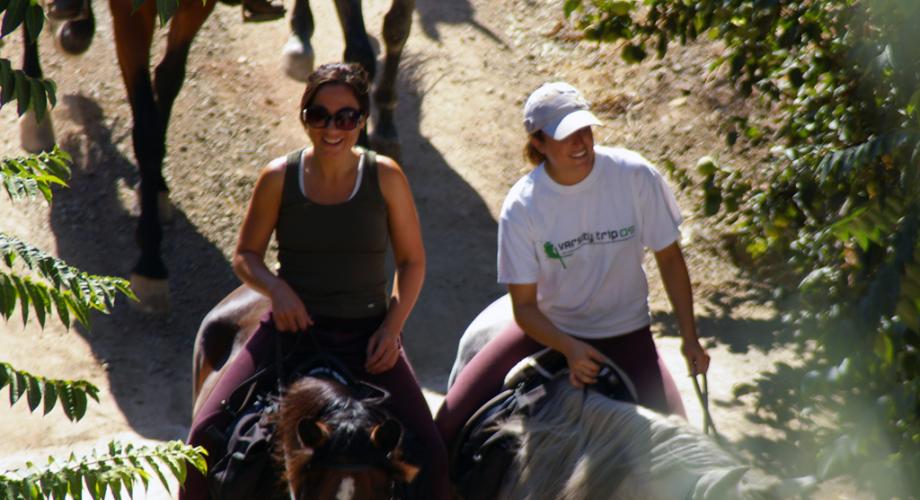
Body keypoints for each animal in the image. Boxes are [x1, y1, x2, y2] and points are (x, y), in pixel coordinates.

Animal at [19, 0, 416, 312]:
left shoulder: (194, 7)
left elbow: (167, 82)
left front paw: (156, 194)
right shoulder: (131, 12)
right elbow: (146, 125)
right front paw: (150, 263)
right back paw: (36, 111)